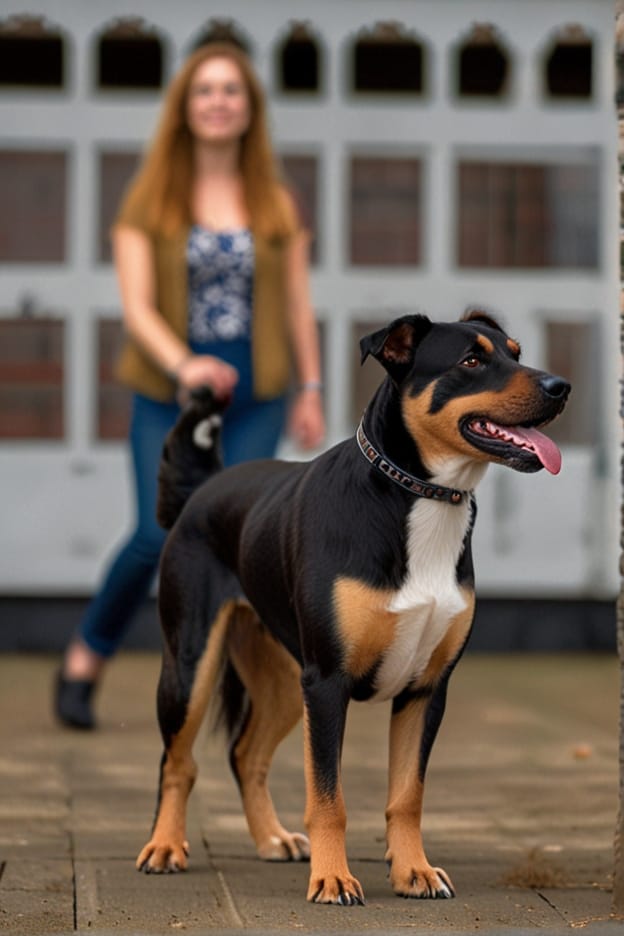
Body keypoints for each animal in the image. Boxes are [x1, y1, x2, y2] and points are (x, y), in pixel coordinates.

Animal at [136, 314, 572, 908]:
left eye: (516, 353)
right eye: (472, 361)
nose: (560, 387)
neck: (419, 498)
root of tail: (203, 490)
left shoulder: (425, 689)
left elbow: (407, 795)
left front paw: (414, 872)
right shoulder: (327, 682)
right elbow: (329, 798)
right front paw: (333, 879)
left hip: (281, 680)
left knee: (246, 755)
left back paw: (271, 839)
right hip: (190, 665)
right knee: (177, 761)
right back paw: (164, 847)